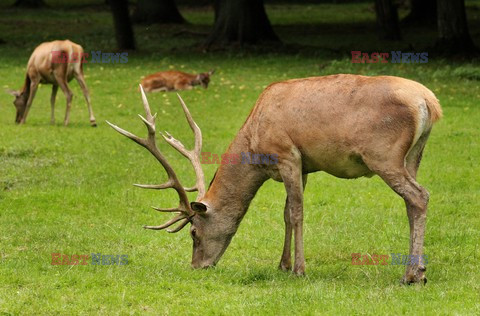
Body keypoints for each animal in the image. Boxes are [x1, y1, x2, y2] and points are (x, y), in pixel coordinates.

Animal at [107, 74, 440, 284]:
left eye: (193, 232)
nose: (197, 266)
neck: (254, 147)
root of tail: (429, 102)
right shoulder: (303, 166)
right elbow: (286, 214)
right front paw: (282, 265)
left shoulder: (287, 154)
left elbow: (297, 212)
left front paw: (300, 270)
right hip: (414, 155)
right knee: (412, 203)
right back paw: (419, 270)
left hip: (383, 155)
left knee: (419, 195)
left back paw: (410, 276)